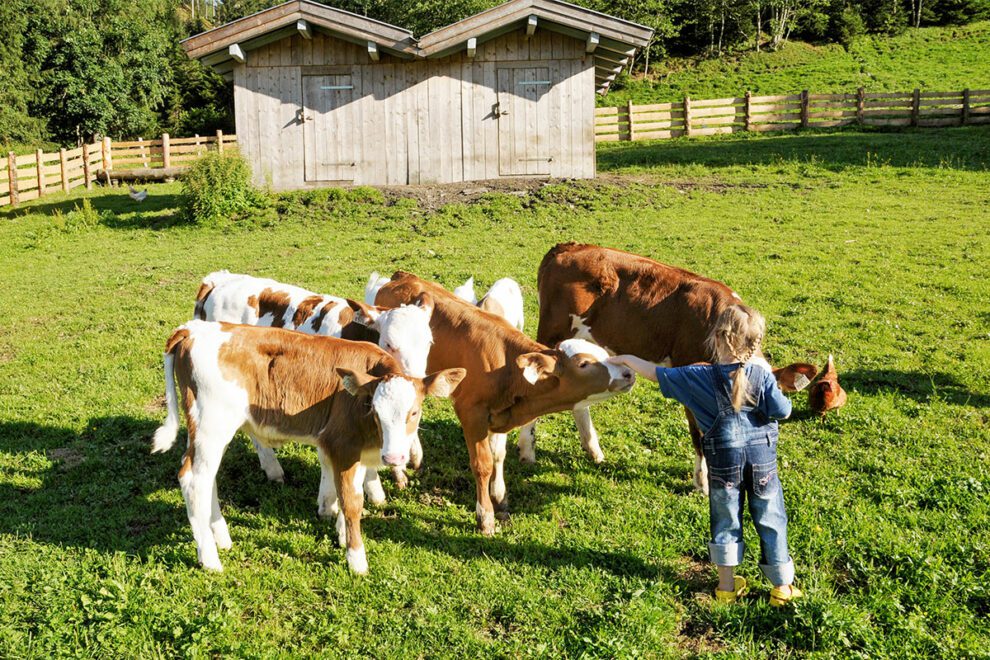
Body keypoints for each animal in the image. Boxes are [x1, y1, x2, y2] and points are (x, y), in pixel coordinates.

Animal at [372, 270, 636, 532]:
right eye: (583, 364)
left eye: (604, 354)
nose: (629, 373)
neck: (506, 366)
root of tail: (403, 276)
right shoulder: (472, 414)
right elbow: (482, 464)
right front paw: (485, 516)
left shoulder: (500, 413)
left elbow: (498, 455)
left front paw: (499, 497)